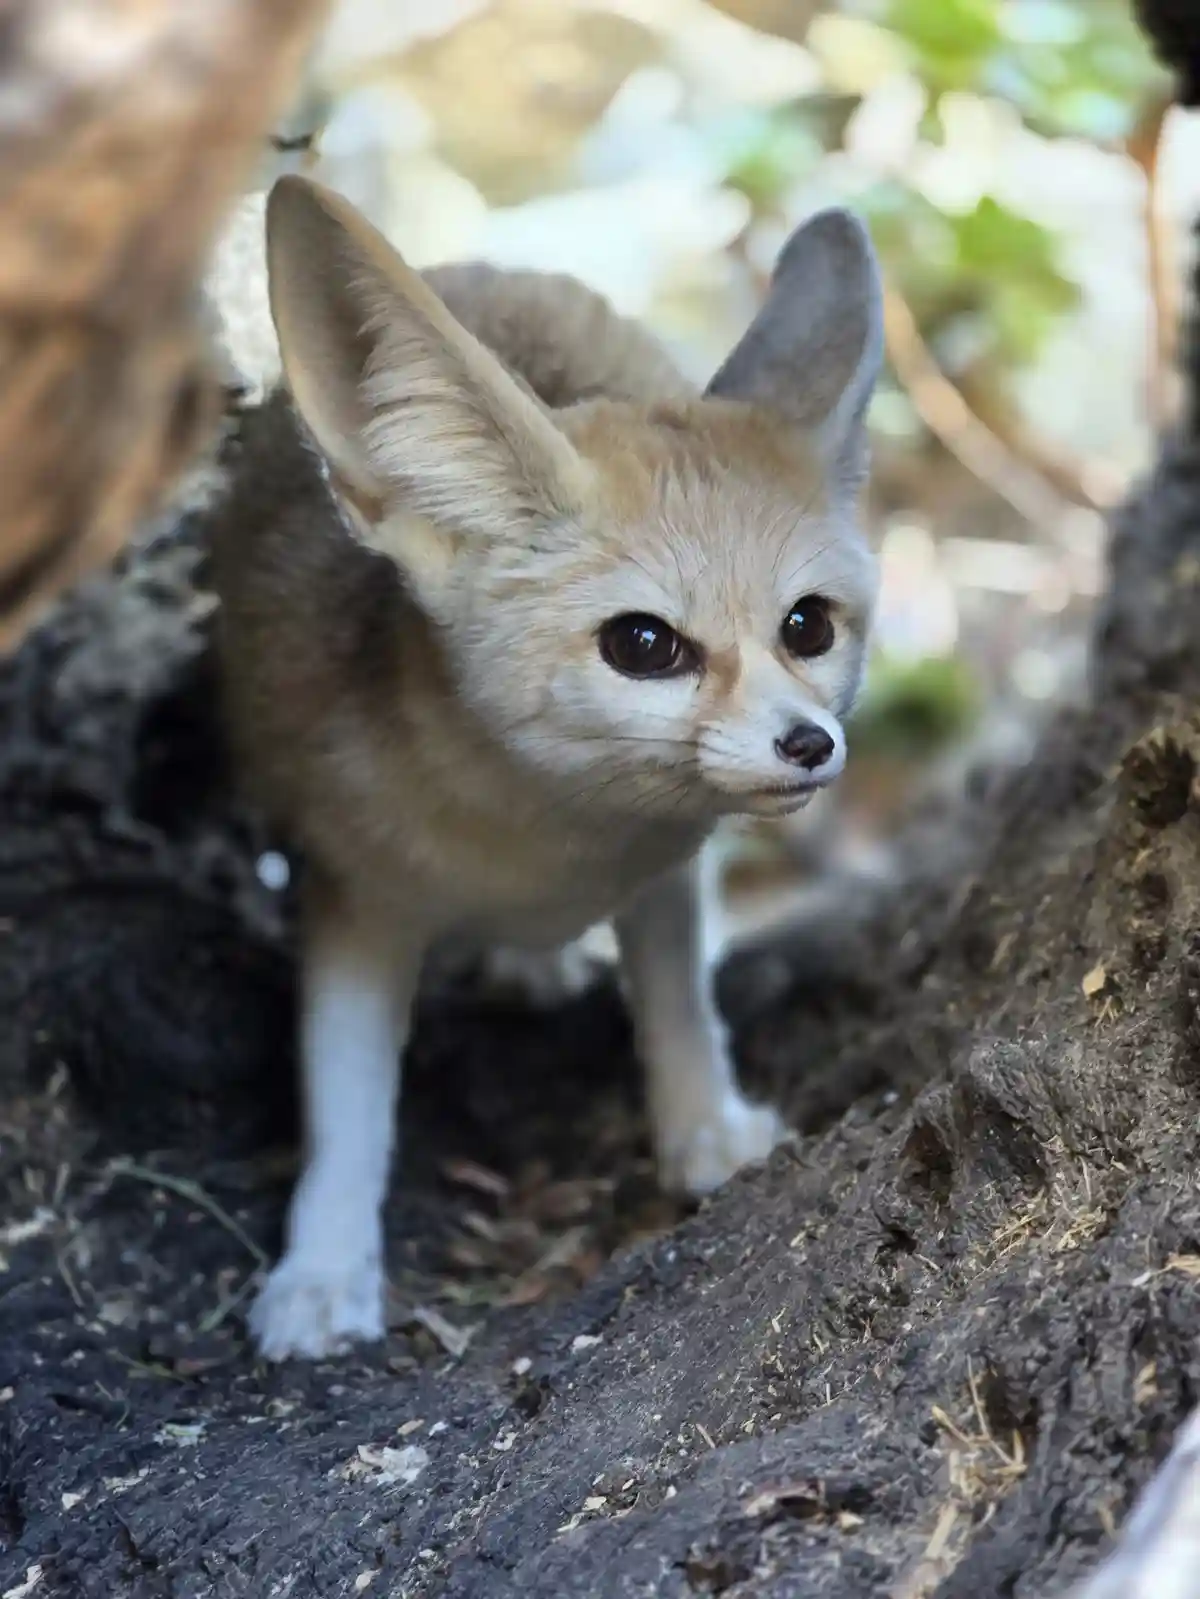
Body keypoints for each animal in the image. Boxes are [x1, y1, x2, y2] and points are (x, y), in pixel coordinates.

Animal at [210, 174, 883, 1360]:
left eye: (808, 627)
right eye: (645, 645)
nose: (811, 744)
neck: (546, 846)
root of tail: (489, 264)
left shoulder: (665, 869)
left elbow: (678, 1000)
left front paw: (704, 1124)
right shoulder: (351, 898)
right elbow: (346, 1100)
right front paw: (325, 1264)